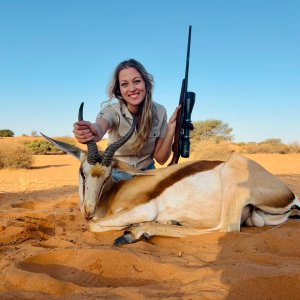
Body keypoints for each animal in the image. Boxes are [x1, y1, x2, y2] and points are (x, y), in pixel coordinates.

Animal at [41, 104, 298, 245]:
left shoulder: (142, 209)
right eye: (82, 172)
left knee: (225, 228)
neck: (114, 194)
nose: (88, 211)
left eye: (108, 175)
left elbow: (96, 226)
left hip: (234, 176)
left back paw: (136, 232)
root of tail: (289, 195)